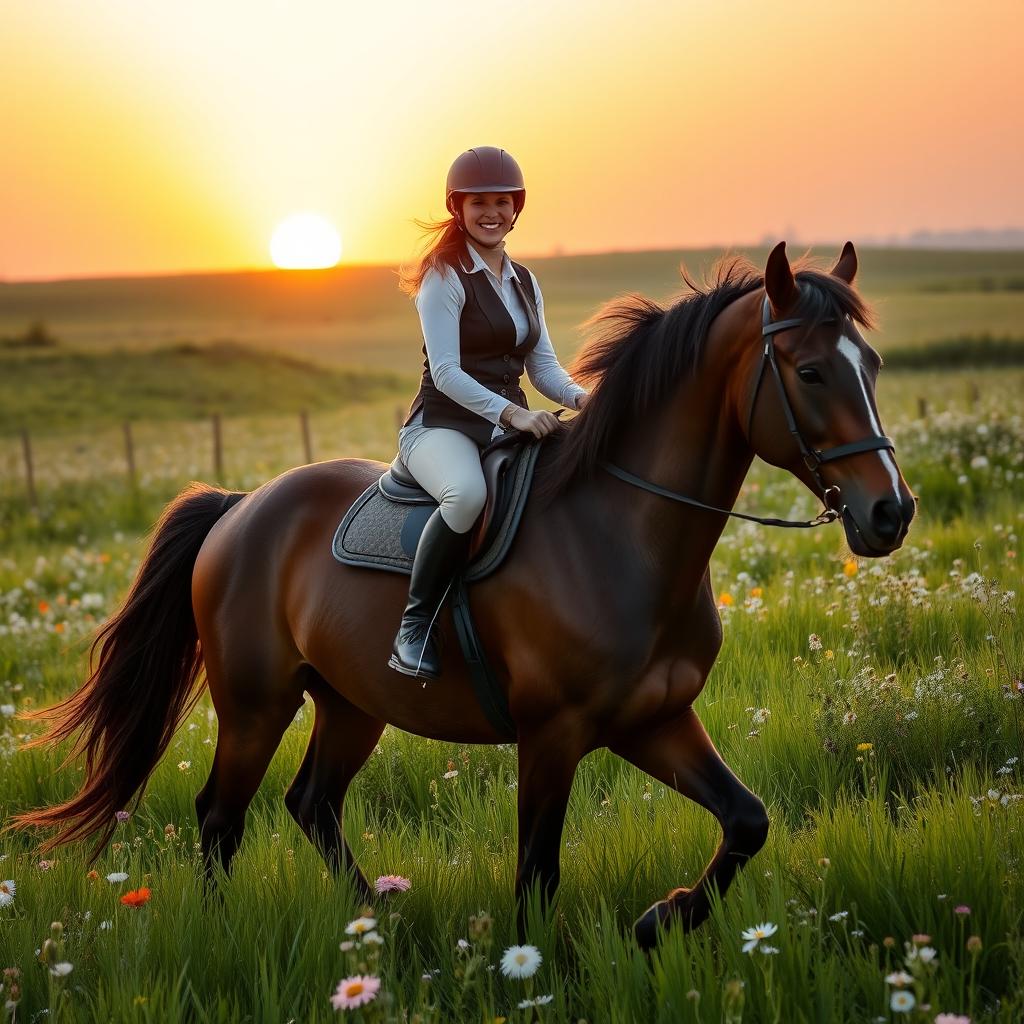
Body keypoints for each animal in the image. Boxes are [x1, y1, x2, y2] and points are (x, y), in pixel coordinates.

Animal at [12, 241, 916, 948]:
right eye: (809, 371)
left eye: (871, 365)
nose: (890, 512)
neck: (622, 534)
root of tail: (240, 506)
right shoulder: (553, 736)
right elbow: (536, 877)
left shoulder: (655, 719)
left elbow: (746, 820)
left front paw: (660, 920)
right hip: (255, 705)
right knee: (220, 817)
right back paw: (226, 935)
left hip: (351, 704)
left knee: (312, 803)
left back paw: (376, 924)